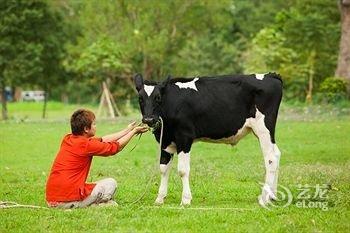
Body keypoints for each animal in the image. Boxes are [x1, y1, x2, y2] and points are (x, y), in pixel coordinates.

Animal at [133, 73, 284, 206]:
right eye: (140, 98)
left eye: (158, 97)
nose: (148, 119)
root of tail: (270, 75)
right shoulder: (165, 140)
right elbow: (163, 168)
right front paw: (160, 198)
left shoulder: (184, 137)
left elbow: (182, 170)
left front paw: (186, 200)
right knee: (276, 154)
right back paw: (273, 196)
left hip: (263, 128)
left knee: (271, 158)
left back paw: (264, 198)